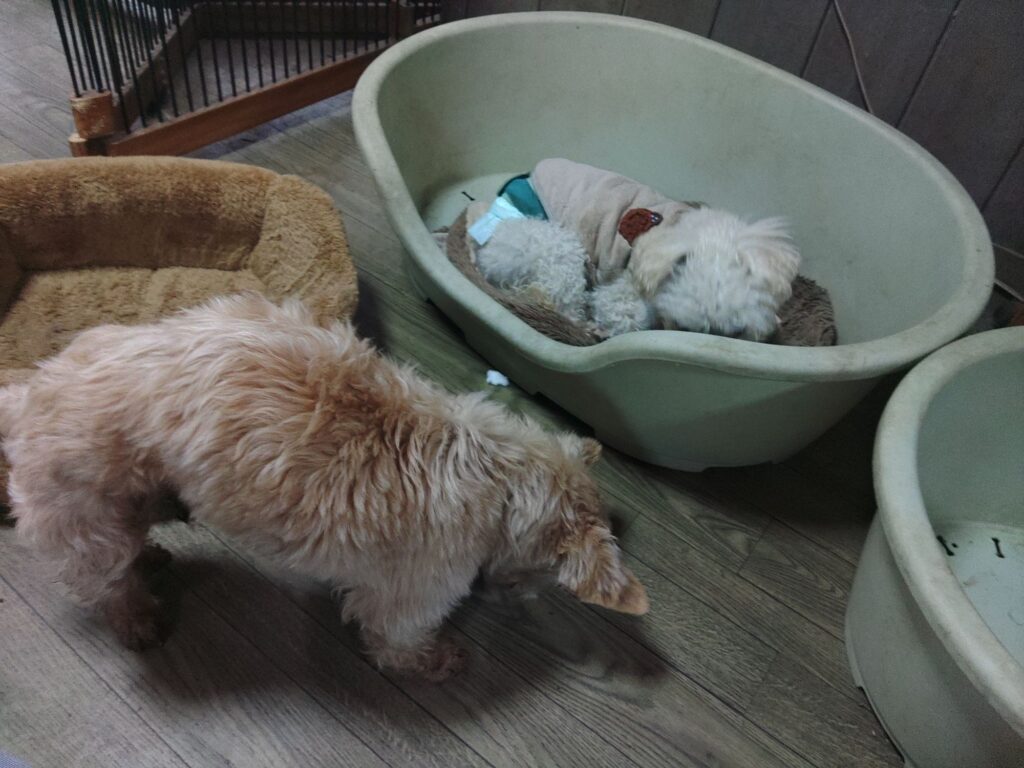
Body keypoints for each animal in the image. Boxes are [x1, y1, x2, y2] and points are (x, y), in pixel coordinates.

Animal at [0, 294, 647, 680]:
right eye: (542, 573)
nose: (515, 595)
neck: (504, 471)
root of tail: (27, 394)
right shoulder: (412, 592)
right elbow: (395, 637)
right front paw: (435, 660)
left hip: (131, 492)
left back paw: (154, 553)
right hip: (84, 517)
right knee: (103, 580)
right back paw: (137, 615)